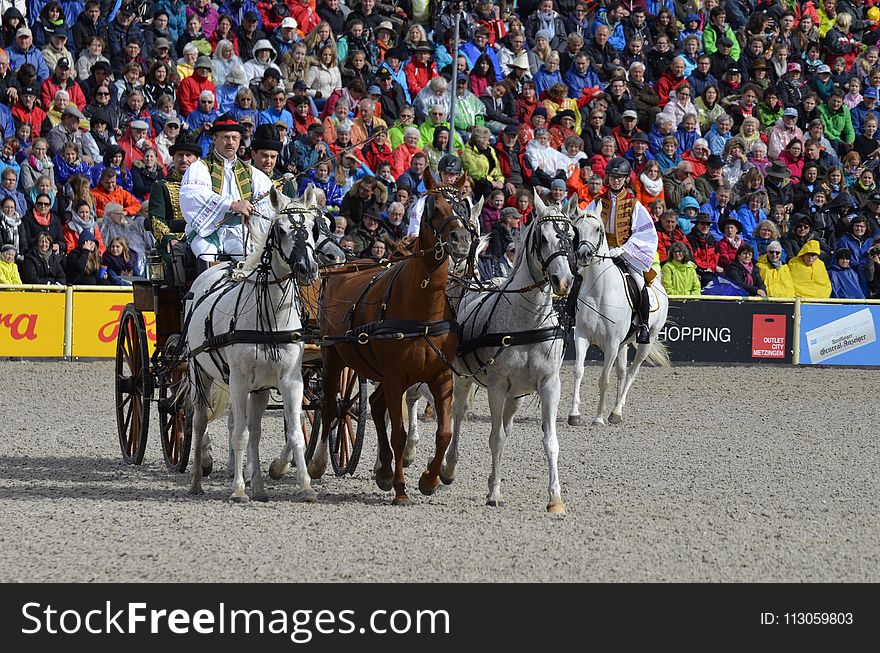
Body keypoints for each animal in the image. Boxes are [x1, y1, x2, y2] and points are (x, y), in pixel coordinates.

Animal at [188, 186, 324, 502]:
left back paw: (259, 486)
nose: (307, 268)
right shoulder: (238, 380)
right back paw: (198, 478)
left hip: (259, 388)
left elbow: (294, 433)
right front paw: (238, 489)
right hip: (199, 374)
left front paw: (305, 486)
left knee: (255, 428)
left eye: (314, 227)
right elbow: (239, 434)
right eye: (281, 229)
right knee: (200, 422)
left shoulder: (291, 380)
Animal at [306, 173, 478, 504]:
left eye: (463, 205)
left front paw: (429, 479)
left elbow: (444, 432)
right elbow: (398, 433)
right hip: (333, 358)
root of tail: (345, 267)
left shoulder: (441, 377)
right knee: (330, 407)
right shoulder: (396, 377)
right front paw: (401, 489)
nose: (460, 241)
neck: (423, 308)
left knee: (372, 405)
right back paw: (319, 462)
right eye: (433, 206)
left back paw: (384, 470)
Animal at [440, 191, 576, 512]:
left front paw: (555, 498)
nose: (563, 282)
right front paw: (495, 493)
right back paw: (448, 468)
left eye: (571, 237)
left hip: (516, 395)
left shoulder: (549, 384)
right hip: (464, 377)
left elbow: (550, 441)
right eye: (542, 237)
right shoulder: (497, 387)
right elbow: (496, 439)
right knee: (459, 414)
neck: (527, 322)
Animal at [568, 210, 672, 428]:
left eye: (597, 228)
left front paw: (598, 418)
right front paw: (574, 414)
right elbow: (578, 371)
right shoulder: (581, 337)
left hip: (647, 341)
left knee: (632, 372)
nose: (583, 255)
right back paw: (616, 411)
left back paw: (616, 411)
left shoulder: (612, 344)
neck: (599, 290)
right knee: (622, 372)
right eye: (576, 229)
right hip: (624, 345)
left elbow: (604, 380)